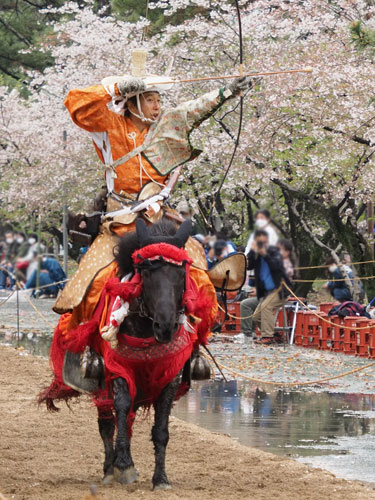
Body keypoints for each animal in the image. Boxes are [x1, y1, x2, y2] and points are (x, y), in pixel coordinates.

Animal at [96, 218, 194, 488]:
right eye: (147, 272)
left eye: (181, 274)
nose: (165, 326)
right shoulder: (118, 369)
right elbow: (121, 408)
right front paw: (123, 465)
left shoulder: (171, 377)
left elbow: (161, 429)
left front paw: (160, 478)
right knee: (107, 423)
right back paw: (109, 469)